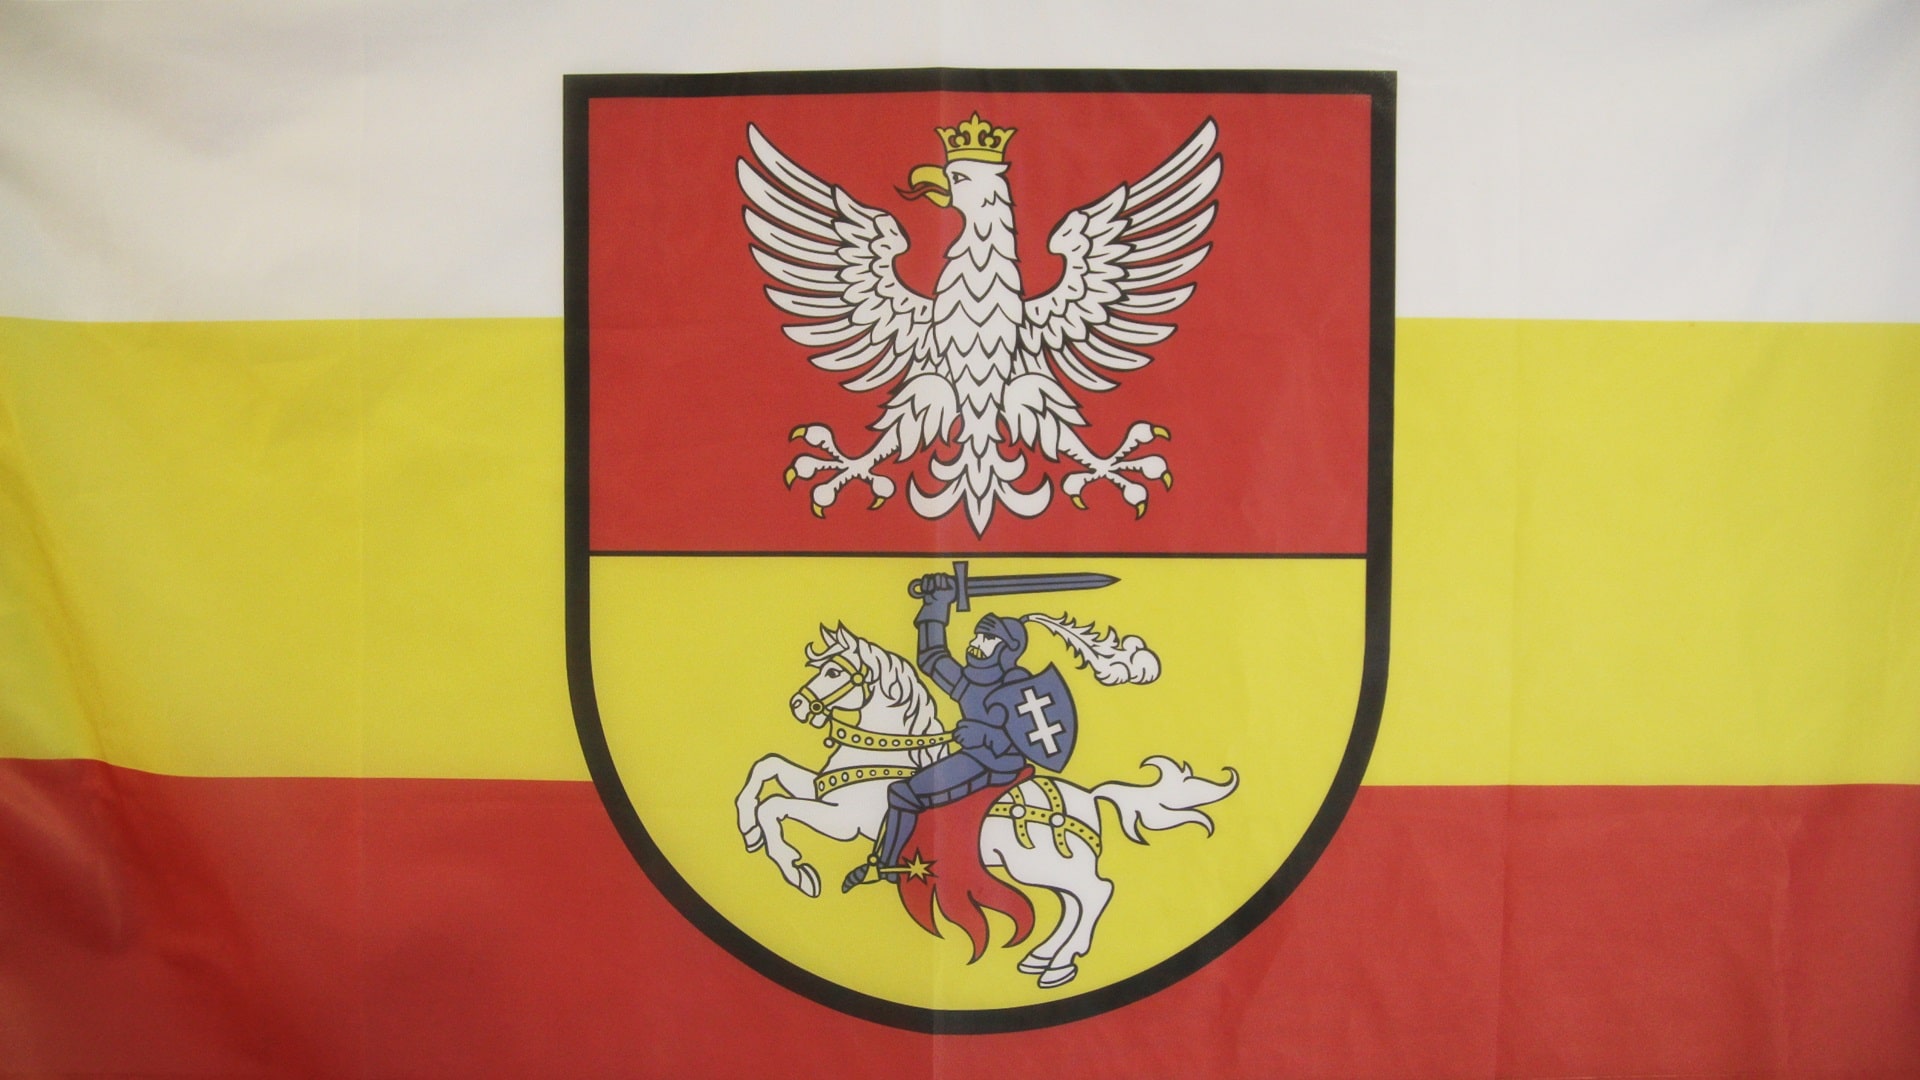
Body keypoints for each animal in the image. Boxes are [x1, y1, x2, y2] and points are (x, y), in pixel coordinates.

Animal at [735, 624, 1238, 989]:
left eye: (836, 673)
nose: (798, 705)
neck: (884, 748)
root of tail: (1091, 798)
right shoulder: (822, 788)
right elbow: (766, 769)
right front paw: (748, 830)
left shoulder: (843, 819)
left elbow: (777, 806)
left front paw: (798, 870)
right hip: (1039, 868)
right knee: (1073, 902)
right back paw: (1043, 957)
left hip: (1045, 864)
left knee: (1098, 892)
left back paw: (1060, 965)